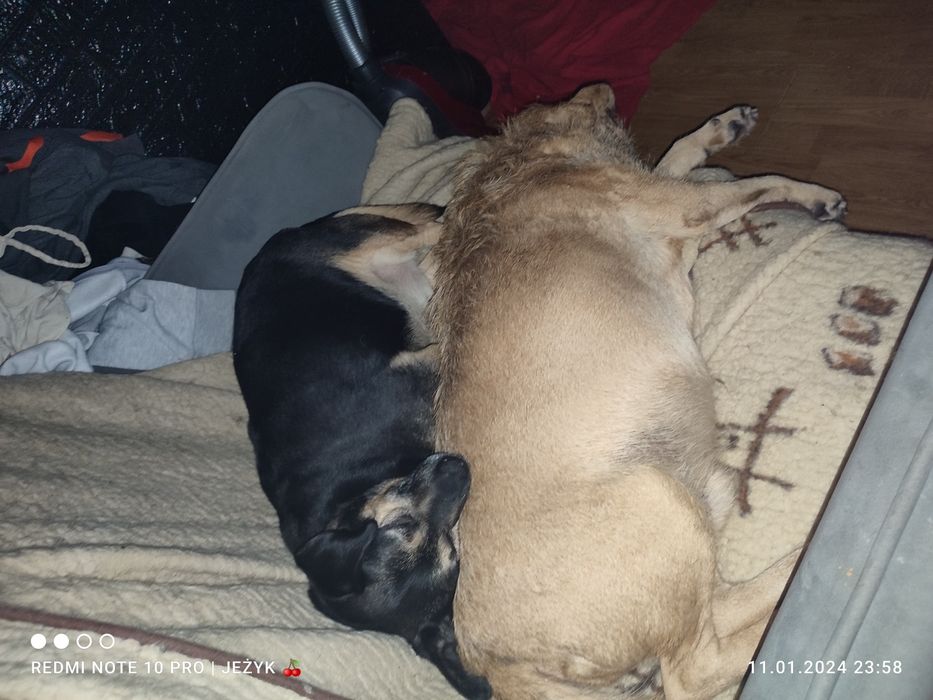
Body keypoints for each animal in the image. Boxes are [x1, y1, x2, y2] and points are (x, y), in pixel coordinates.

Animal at [232, 203, 490, 699]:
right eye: (452, 554)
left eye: (401, 525)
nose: (458, 466)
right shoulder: (427, 363)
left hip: (365, 242)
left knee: (423, 224)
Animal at [430, 85, 845, 700]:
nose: (602, 88)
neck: (524, 158)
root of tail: (498, 665)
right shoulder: (684, 205)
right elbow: (762, 183)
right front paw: (816, 196)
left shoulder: (675, 214)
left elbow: (677, 152)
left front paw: (722, 128)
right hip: (663, 502)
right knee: (694, 670)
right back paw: (801, 567)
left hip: (698, 507)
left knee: (717, 609)